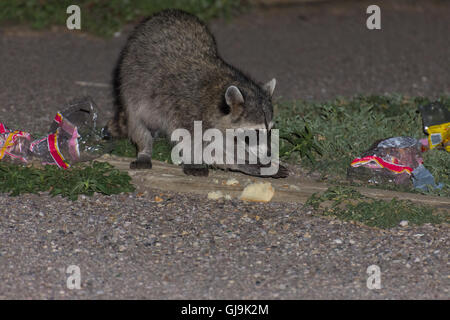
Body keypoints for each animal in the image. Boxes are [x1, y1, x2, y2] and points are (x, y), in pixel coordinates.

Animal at [107, 9, 286, 178]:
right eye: (255, 132)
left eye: (271, 130)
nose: (269, 153)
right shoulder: (185, 113)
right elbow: (197, 145)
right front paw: (241, 162)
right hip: (130, 83)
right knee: (137, 121)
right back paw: (144, 149)